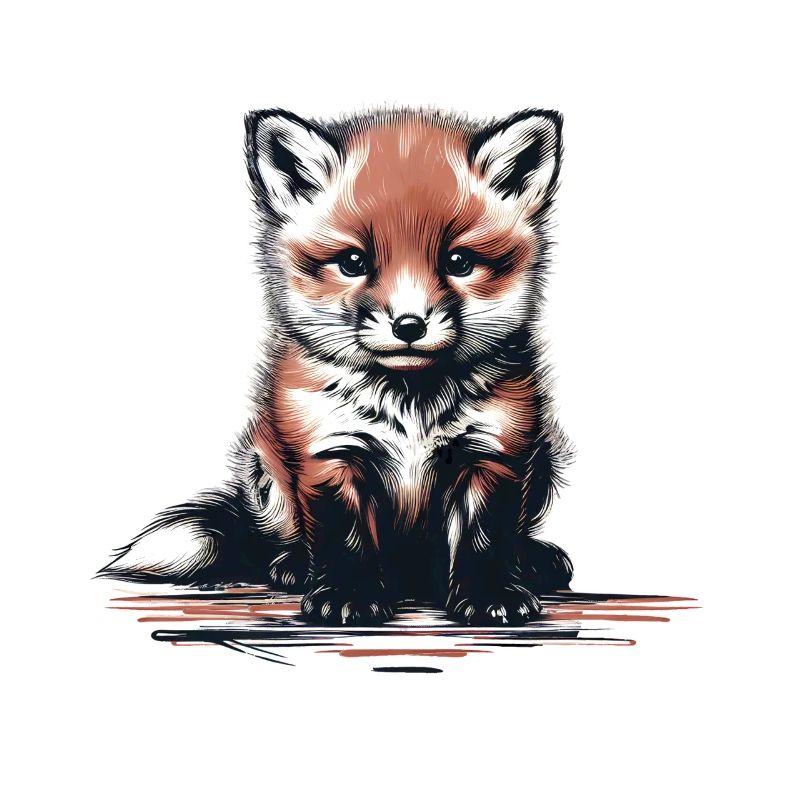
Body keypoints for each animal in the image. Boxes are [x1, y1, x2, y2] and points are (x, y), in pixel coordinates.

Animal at [99, 107, 575, 626]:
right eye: (352, 262)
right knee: (274, 541)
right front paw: (349, 593)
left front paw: (491, 592)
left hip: (544, 459)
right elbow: (345, 537)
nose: (409, 325)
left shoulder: (493, 451)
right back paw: (292, 565)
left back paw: (532, 560)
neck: (410, 405)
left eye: (459, 261)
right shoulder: (329, 452)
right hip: (265, 470)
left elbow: (485, 537)